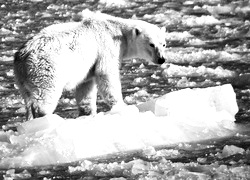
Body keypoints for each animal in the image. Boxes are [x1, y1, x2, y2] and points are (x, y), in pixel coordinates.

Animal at [13, 10, 166, 120]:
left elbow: (85, 87)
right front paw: (122, 107)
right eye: (151, 44)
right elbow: (107, 74)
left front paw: (87, 113)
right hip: (46, 68)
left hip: (21, 78)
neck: (115, 30)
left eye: (164, 44)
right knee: (45, 94)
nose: (162, 59)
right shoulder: (106, 47)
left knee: (27, 98)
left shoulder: (88, 67)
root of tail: (23, 55)